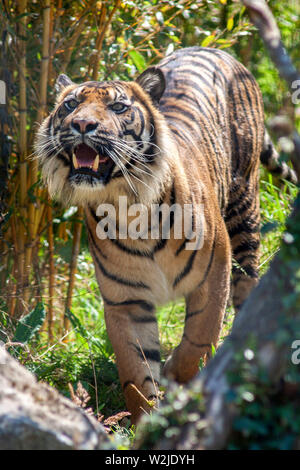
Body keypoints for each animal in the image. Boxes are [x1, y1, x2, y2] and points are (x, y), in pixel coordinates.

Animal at [34, 47, 296, 426]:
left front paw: (176, 376)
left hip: (244, 212)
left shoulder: (213, 275)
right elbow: (136, 372)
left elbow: (196, 343)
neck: (128, 207)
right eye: (70, 105)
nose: (81, 125)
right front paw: (148, 421)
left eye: (118, 107)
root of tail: (219, 51)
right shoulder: (125, 301)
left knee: (248, 284)